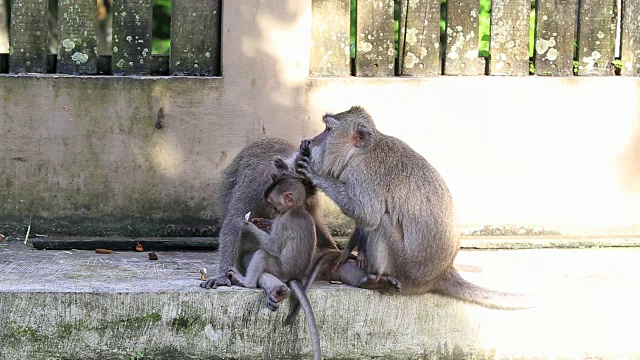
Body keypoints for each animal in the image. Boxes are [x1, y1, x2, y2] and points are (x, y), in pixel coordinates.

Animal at [228, 172, 322, 360]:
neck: (294, 209)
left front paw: (247, 225)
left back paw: (246, 282)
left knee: (262, 254)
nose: (271, 212)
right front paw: (262, 222)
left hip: (280, 269)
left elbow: (273, 247)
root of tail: (295, 275)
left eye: (272, 203)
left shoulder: (282, 222)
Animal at [296, 105, 536, 310]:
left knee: (383, 222)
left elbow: (368, 214)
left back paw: (377, 277)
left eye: (328, 129)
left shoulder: (362, 173)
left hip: (406, 270)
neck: (361, 151)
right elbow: (364, 220)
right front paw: (351, 250)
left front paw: (317, 176)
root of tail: (440, 274)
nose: (310, 141)